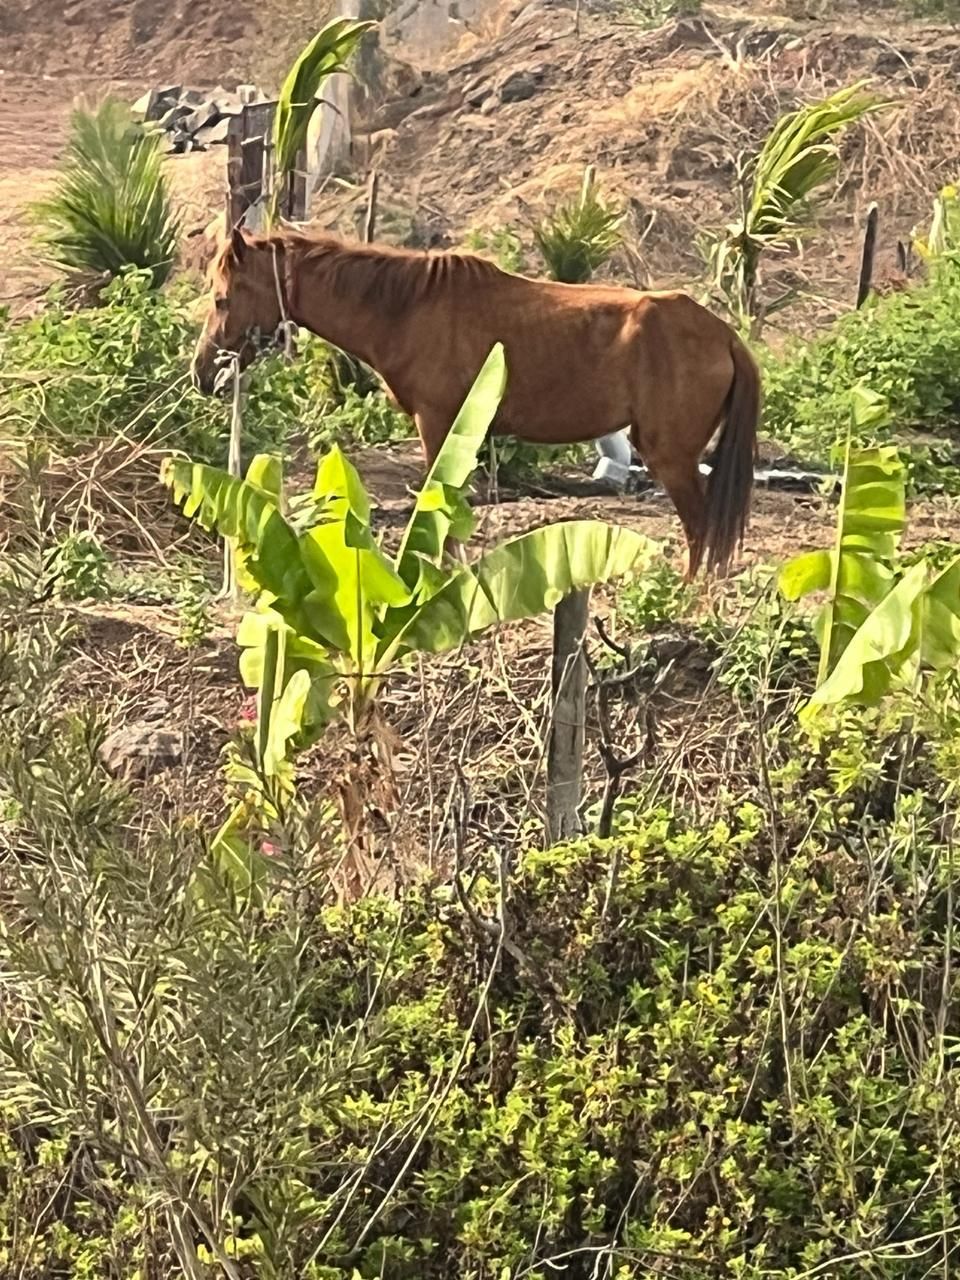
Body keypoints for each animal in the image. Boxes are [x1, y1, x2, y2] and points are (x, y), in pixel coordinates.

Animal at [191, 225, 761, 578]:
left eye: (222, 297)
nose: (203, 372)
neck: (407, 308)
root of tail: (723, 335)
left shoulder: (437, 423)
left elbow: (437, 497)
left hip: (671, 457)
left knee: (701, 531)